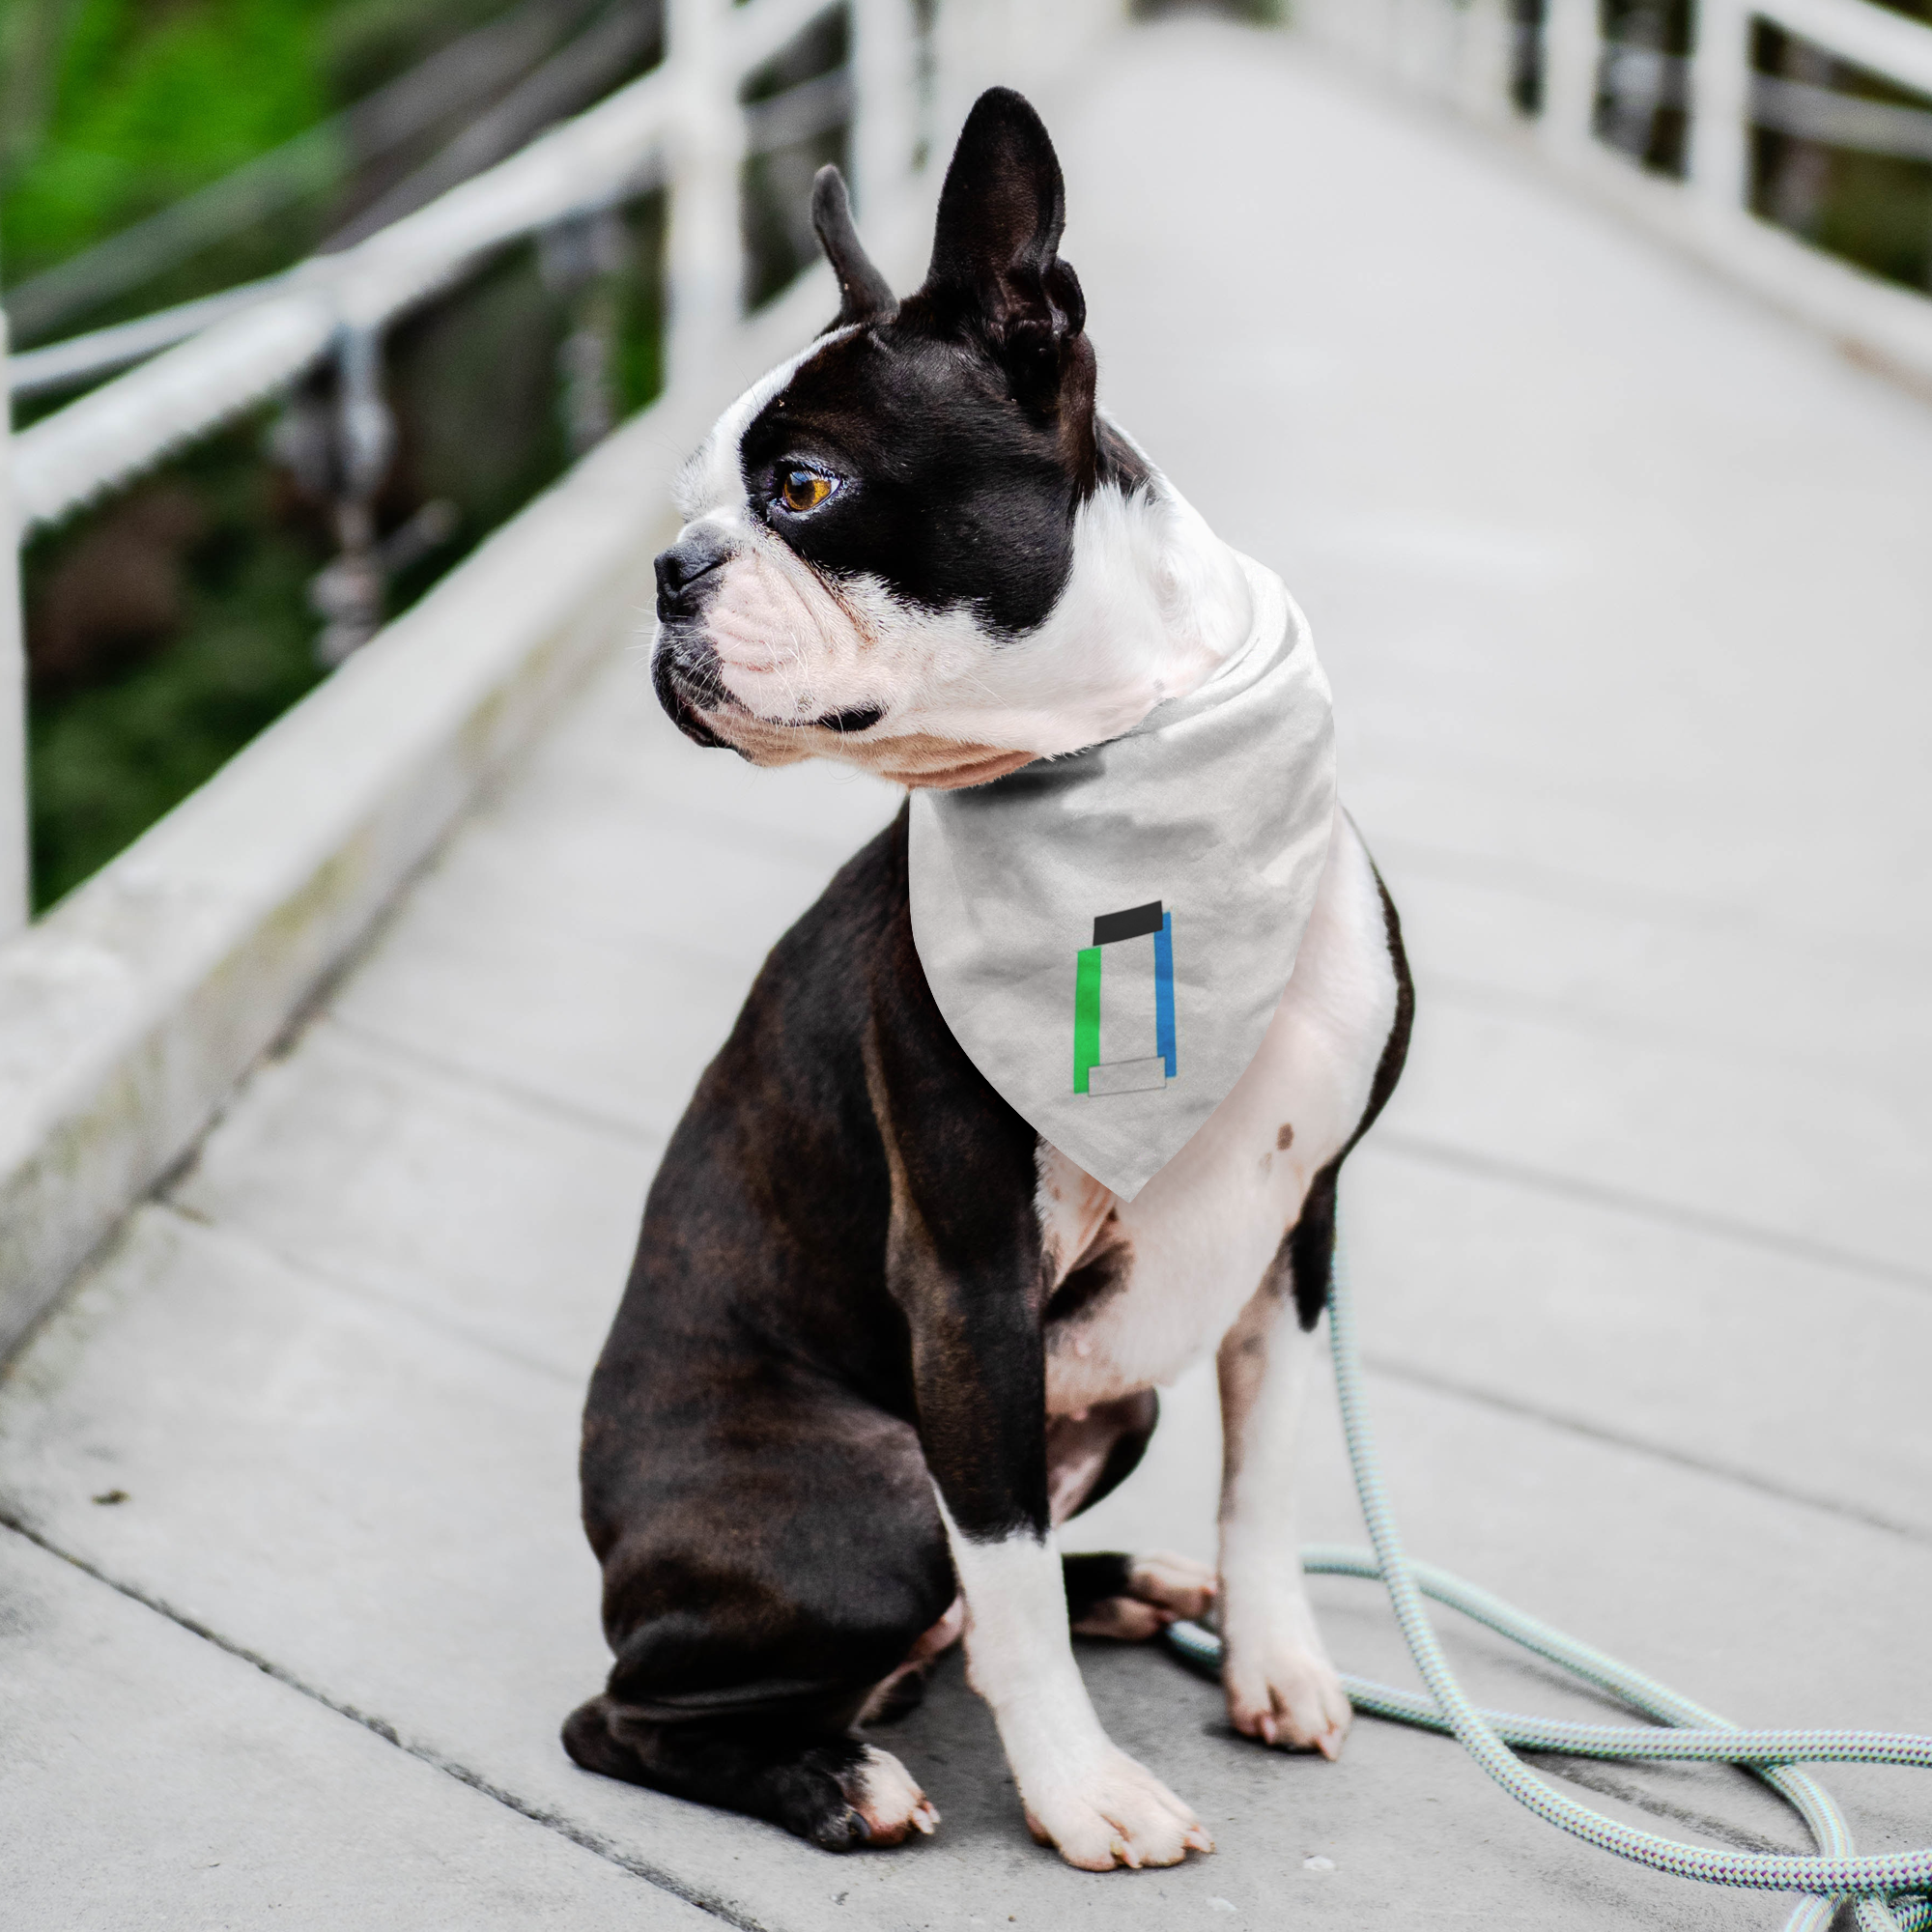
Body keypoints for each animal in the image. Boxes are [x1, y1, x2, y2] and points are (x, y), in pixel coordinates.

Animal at [564, 87, 1414, 1870]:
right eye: (698, 499)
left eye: (802, 487)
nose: (670, 570)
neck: (1129, 761)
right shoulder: (968, 1278)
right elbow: (1004, 1571)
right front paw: (1083, 1792)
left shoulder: (1297, 1236)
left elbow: (1268, 1477)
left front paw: (1275, 1658)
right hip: (876, 1494)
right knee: (641, 1709)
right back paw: (837, 1777)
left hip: (1114, 1406)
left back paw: (1136, 1587)